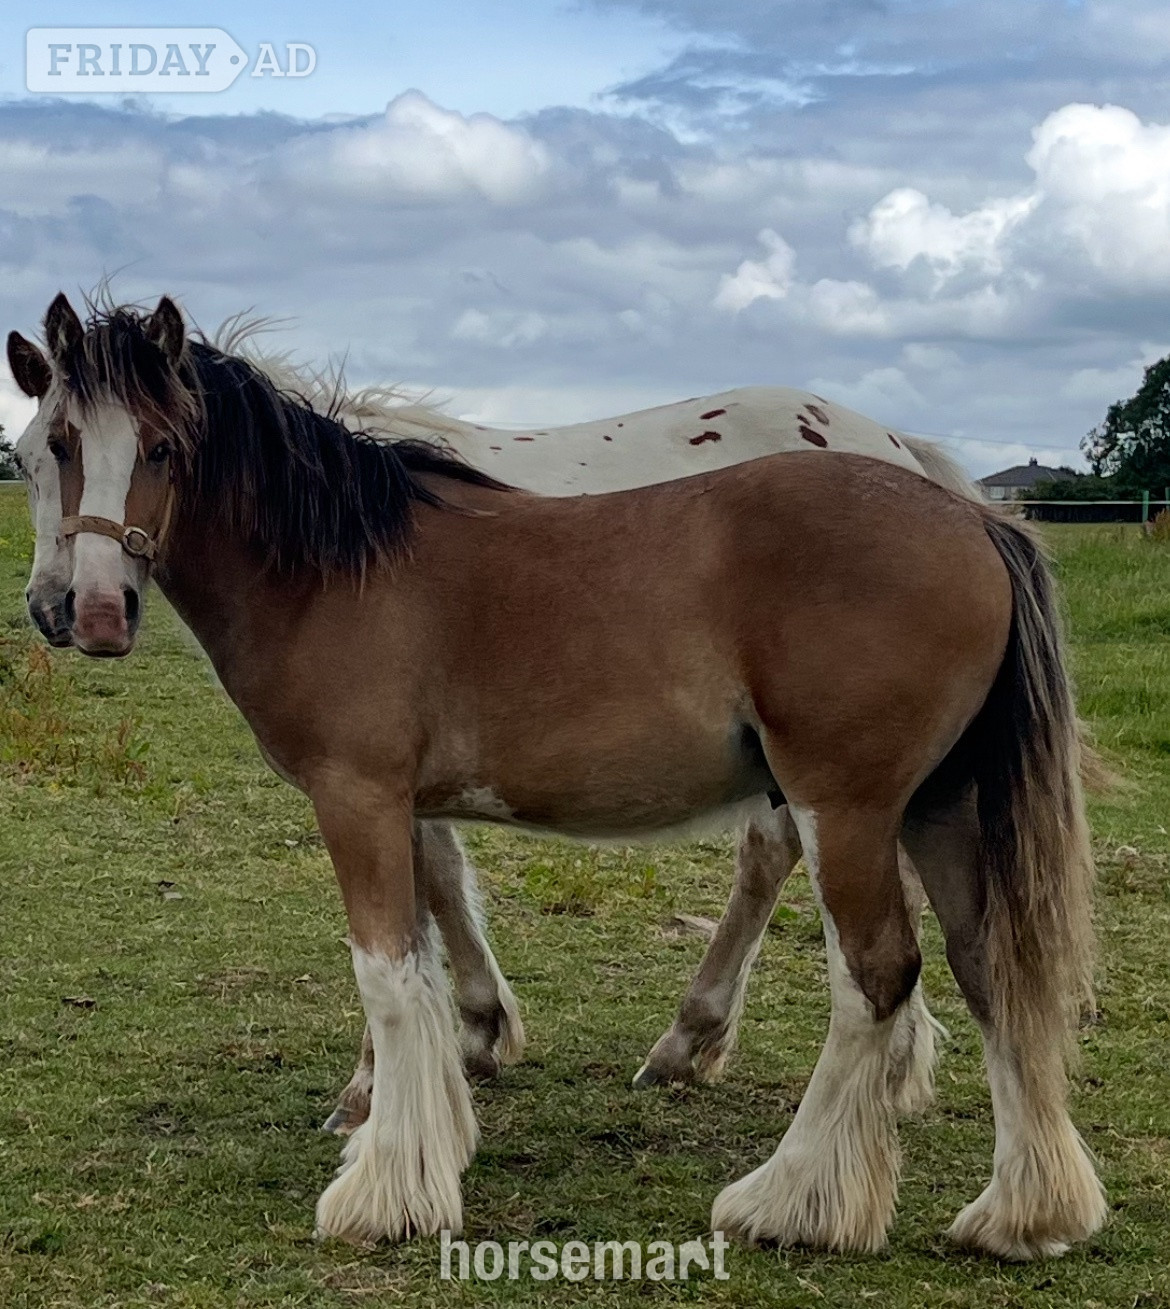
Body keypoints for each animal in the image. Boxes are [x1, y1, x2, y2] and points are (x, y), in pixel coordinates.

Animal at [10, 292, 1105, 1258]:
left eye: (161, 446)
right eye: (42, 449)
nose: (89, 611)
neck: (337, 563)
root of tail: (970, 516)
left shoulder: (359, 795)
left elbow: (390, 974)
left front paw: (384, 1187)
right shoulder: (404, 801)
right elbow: (429, 935)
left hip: (848, 805)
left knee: (872, 972)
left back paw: (789, 1197)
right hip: (939, 806)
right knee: (991, 964)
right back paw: (1023, 1213)